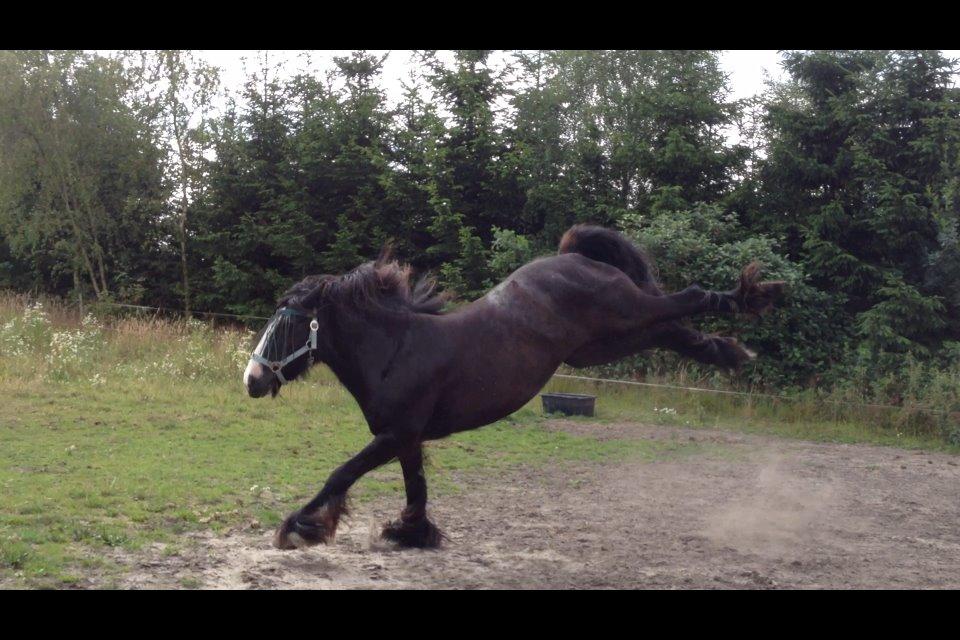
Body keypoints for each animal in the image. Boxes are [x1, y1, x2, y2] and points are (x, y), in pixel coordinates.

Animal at [244, 222, 784, 548]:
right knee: (673, 328)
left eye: (291, 322)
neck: (396, 350)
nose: (251, 380)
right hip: (606, 341)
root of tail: (573, 258)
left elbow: (341, 474)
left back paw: (750, 297)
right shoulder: (406, 439)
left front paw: (298, 528)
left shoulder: (394, 435)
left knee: (686, 298)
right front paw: (411, 532)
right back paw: (730, 349)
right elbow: (415, 488)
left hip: (624, 315)